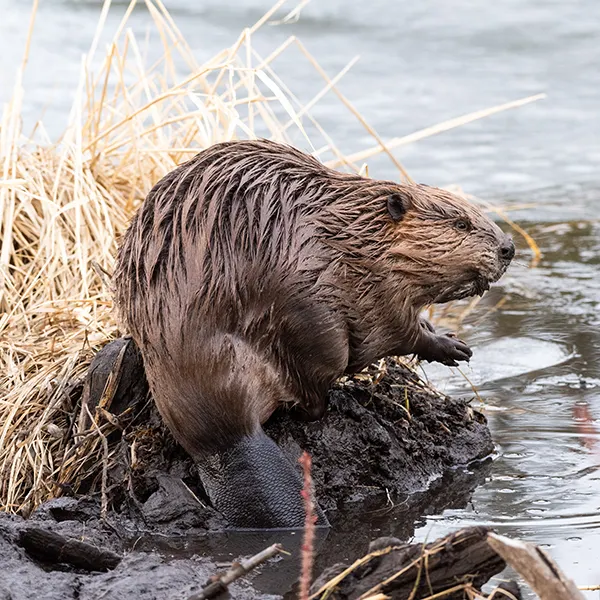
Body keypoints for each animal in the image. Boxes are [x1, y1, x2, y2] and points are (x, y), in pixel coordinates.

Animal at [113, 138, 516, 528]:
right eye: (461, 224)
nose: (508, 247)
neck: (354, 232)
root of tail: (227, 442)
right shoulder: (374, 291)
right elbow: (396, 331)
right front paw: (453, 347)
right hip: (313, 324)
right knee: (312, 395)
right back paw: (344, 398)